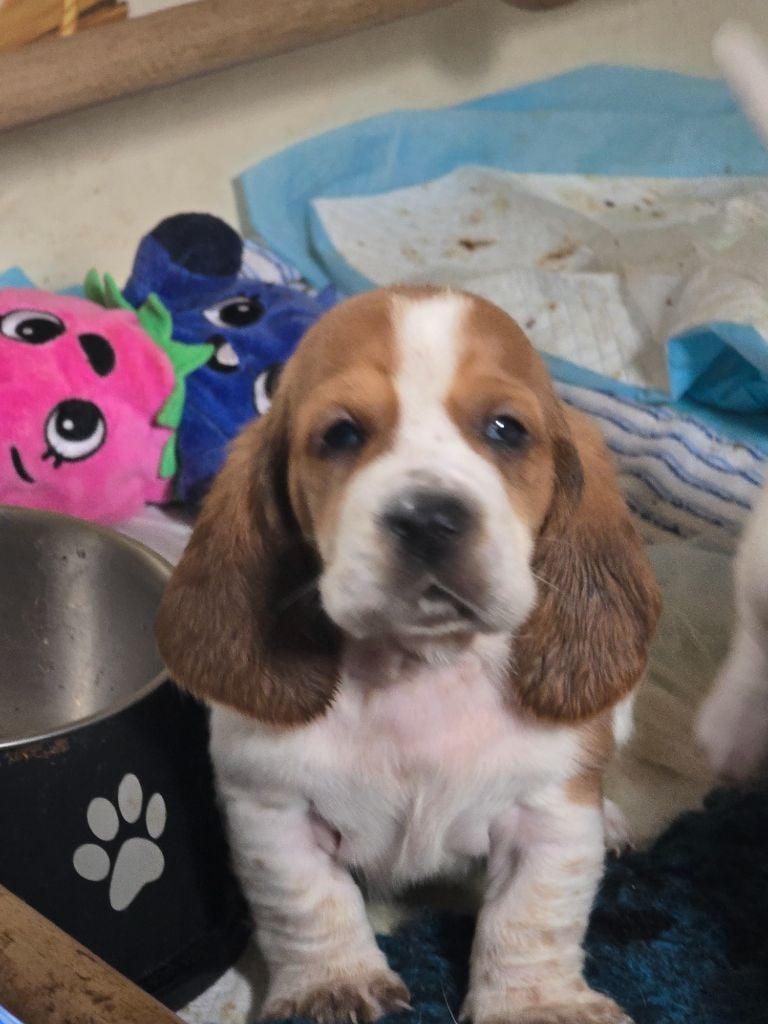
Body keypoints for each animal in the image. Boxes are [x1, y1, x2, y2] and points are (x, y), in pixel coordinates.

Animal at [157, 287, 661, 1024]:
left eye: (507, 430)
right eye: (341, 435)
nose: (429, 519)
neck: (419, 670)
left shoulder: (548, 815)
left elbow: (532, 917)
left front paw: (536, 1003)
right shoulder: (273, 809)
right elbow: (308, 905)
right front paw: (333, 985)